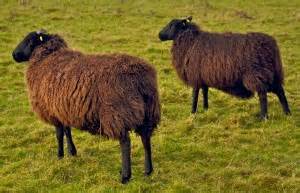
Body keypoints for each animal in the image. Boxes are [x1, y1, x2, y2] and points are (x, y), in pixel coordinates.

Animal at [12, 30, 161, 184]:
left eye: (30, 41)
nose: (14, 54)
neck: (46, 57)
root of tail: (139, 78)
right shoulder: (64, 109)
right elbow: (67, 131)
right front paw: (72, 152)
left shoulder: (53, 112)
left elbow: (59, 134)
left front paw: (59, 155)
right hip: (149, 111)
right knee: (146, 138)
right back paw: (148, 170)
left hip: (117, 114)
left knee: (125, 143)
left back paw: (125, 176)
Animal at [159, 17, 290, 119]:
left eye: (172, 25)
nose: (159, 35)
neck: (190, 42)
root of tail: (271, 45)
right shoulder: (203, 76)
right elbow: (205, 92)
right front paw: (206, 108)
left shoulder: (195, 76)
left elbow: (195, 96)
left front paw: (192, 113)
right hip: (273, 73)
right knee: (280, 91)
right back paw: (287, 113)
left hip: (256, 74)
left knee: (263, 95)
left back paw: (263, 117)